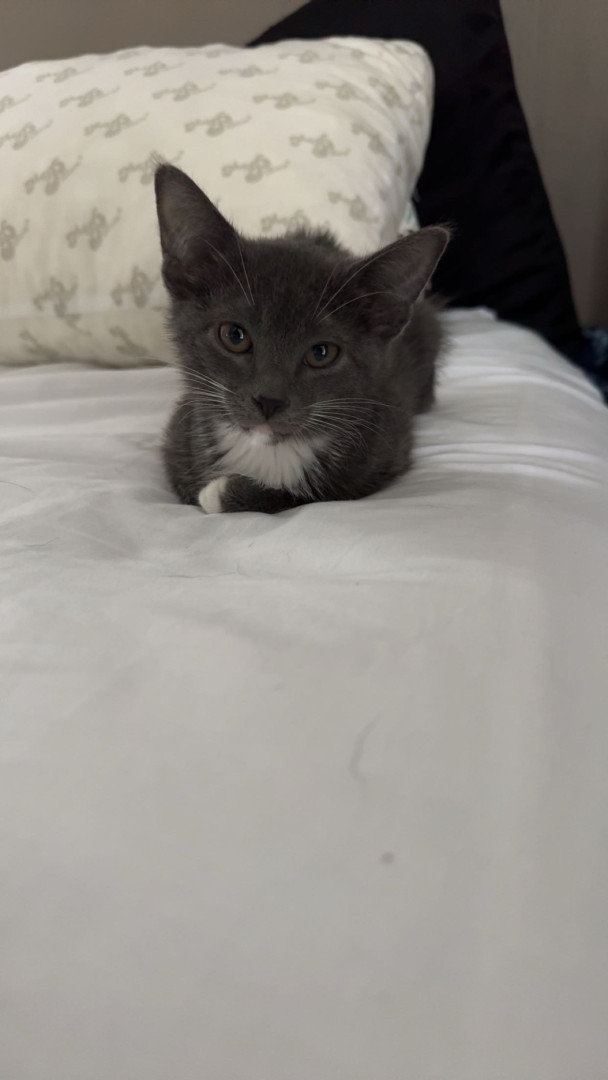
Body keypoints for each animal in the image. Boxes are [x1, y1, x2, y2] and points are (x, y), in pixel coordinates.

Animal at [155, 163, 449, 514]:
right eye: (234, 336)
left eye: (321, 353)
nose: (269, 400)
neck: (265, 451)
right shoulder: (179, 434)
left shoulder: (386, 443)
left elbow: (312, 493)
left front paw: (219, 492)